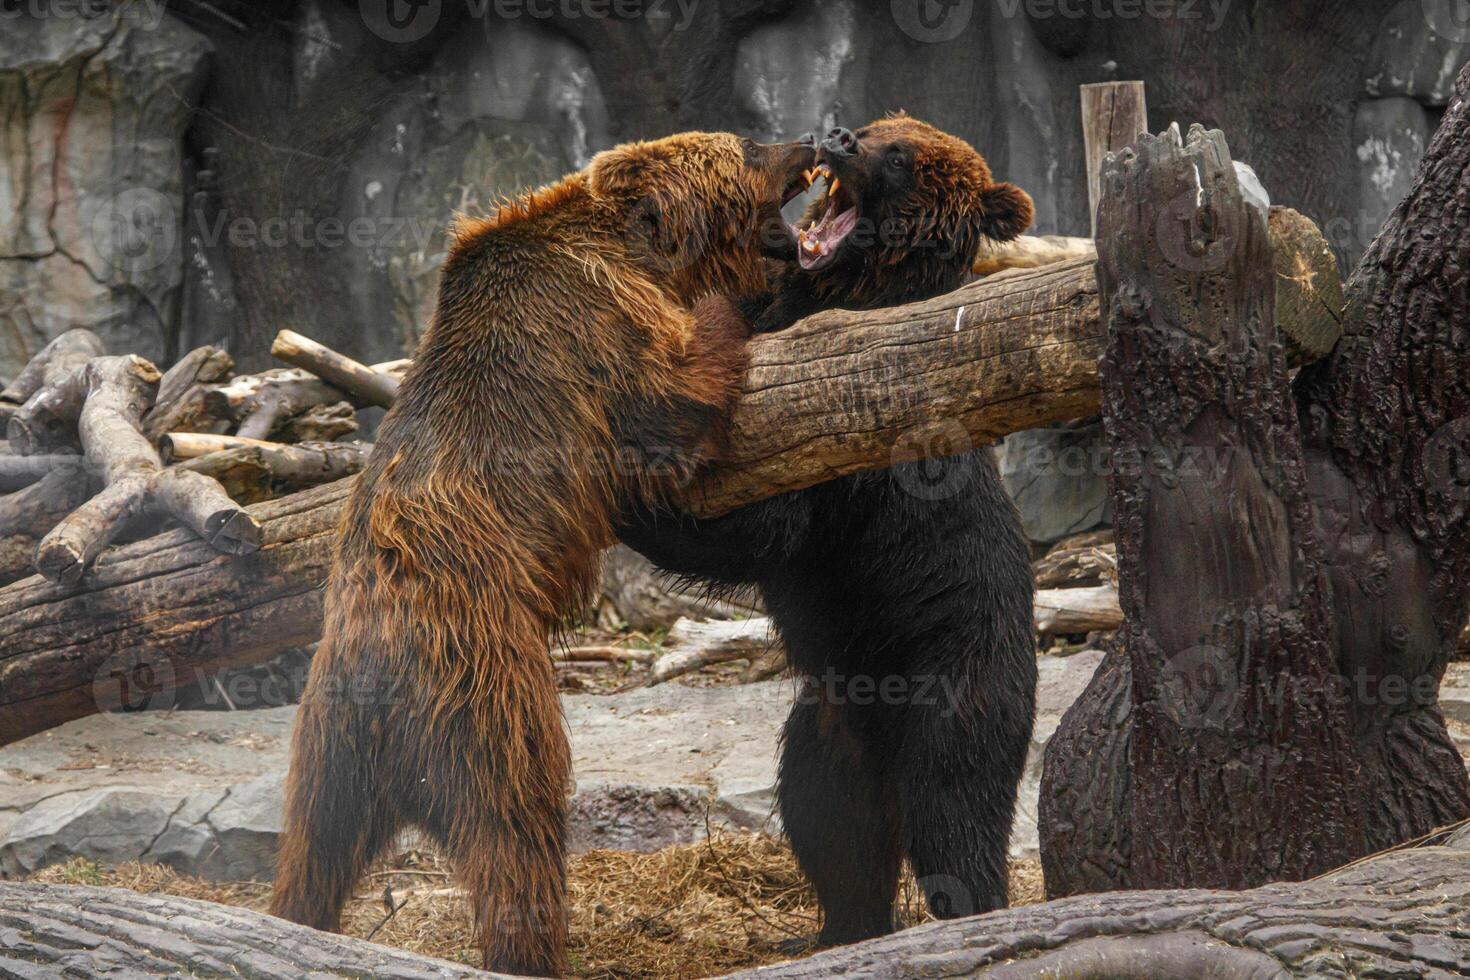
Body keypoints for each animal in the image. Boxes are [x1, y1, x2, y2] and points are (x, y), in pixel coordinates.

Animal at [267, 132, 817, 980]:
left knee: (312, 854)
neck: (637, 251)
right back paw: (534, 947)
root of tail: (372, 674)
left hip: (327, 752)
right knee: (516, 829)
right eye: (749, 146)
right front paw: (738, 306)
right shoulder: (595, 326)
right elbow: (674, 404)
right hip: (484, 692)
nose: (816, 140)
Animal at [614, 115, 1040, 952]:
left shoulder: (851, 434)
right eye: (877, 128)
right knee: (828, 816)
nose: (840, 136)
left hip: (958, 668)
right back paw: (836, 928)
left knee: (954, 809)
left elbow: (762, 529)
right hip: (829, 715)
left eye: (899, 156)